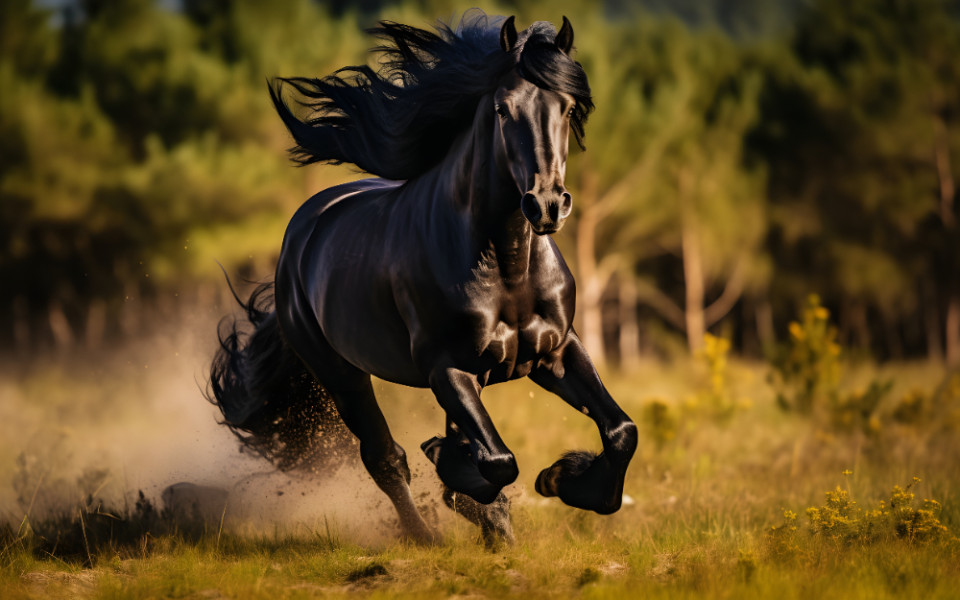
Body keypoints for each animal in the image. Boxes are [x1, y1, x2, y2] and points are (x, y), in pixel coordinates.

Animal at [214, 11, 640, 544]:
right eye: (502, 110)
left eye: (566, 107)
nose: (546, 205)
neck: (508, 268)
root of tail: (303, 232)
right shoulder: (446, 367)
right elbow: (498, 461)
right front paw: (462, 475)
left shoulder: (555, 352)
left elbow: (621, 431)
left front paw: (560, 479)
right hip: (341, 373)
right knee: (384, 457)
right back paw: (425, 533)